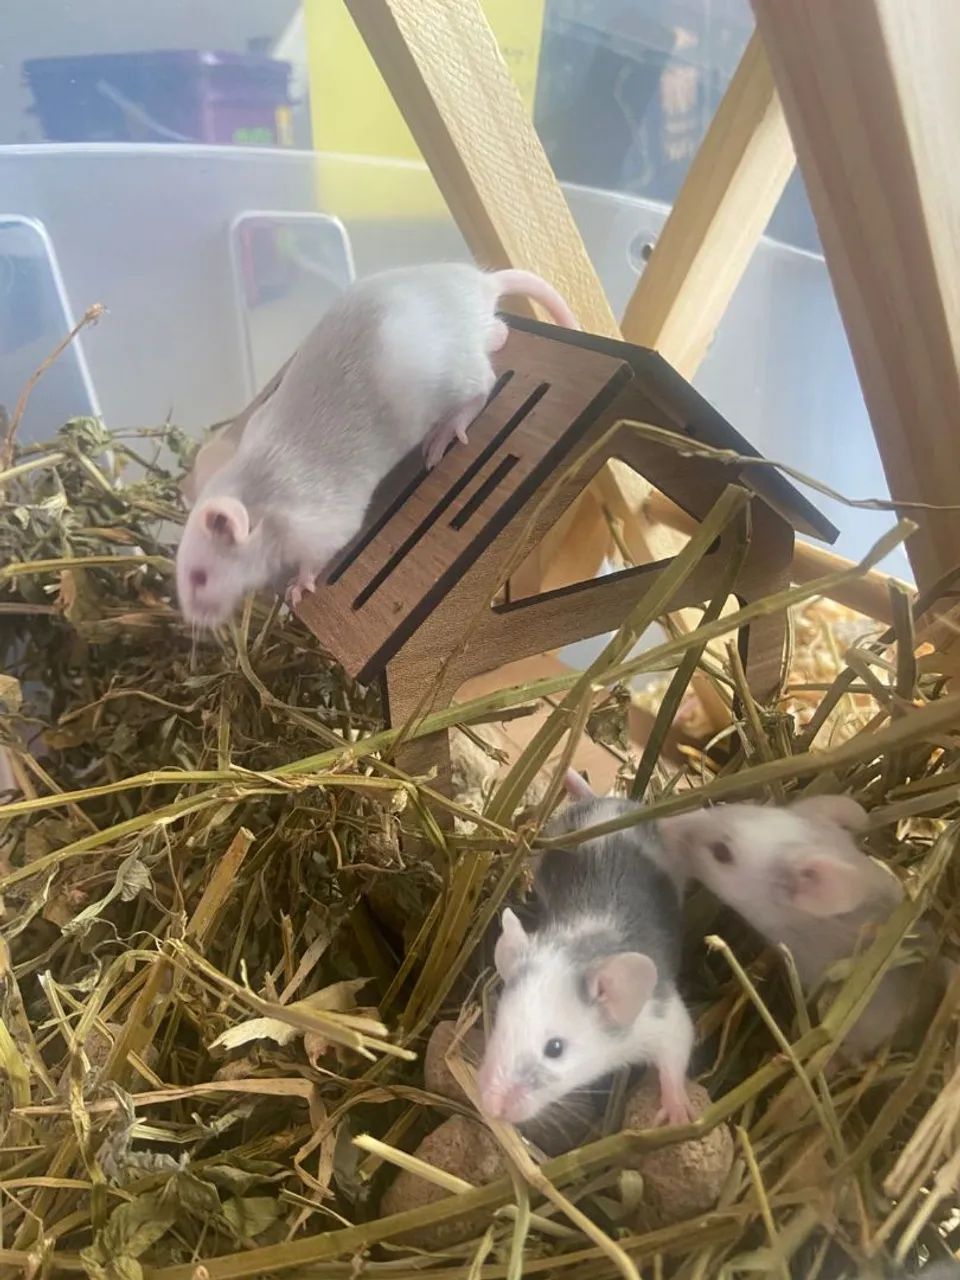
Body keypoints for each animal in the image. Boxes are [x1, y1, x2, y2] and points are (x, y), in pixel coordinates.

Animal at [175, 263, 576, 627]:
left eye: (199, 577)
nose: (194, 622)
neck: (254, 491)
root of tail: (479, 286)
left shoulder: (316, 526)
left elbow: (320, 554)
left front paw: (299, 585)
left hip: (459, 377)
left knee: (484, 385)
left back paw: (446, 431)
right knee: (500, 331)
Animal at [477, 796, 695, 1127]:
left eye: (555, 1049)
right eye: (499, 1024)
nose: (490, 1106)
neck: (579, 948)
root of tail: (609, 802)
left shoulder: (658, 1013)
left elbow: (679, 1041)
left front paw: (679, 1114)